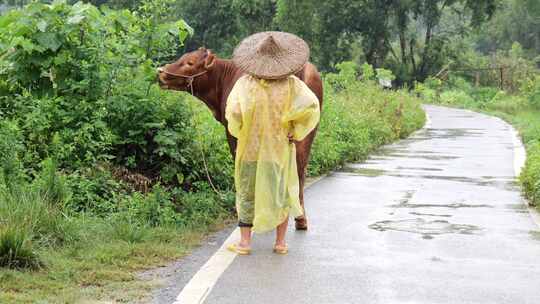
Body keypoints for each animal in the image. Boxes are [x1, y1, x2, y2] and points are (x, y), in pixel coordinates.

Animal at [158, 47, 322, 229]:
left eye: (190, 63)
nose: (160, 73)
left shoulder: (234, 131)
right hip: (306, 131)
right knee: (300, 167)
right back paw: (299, 217)